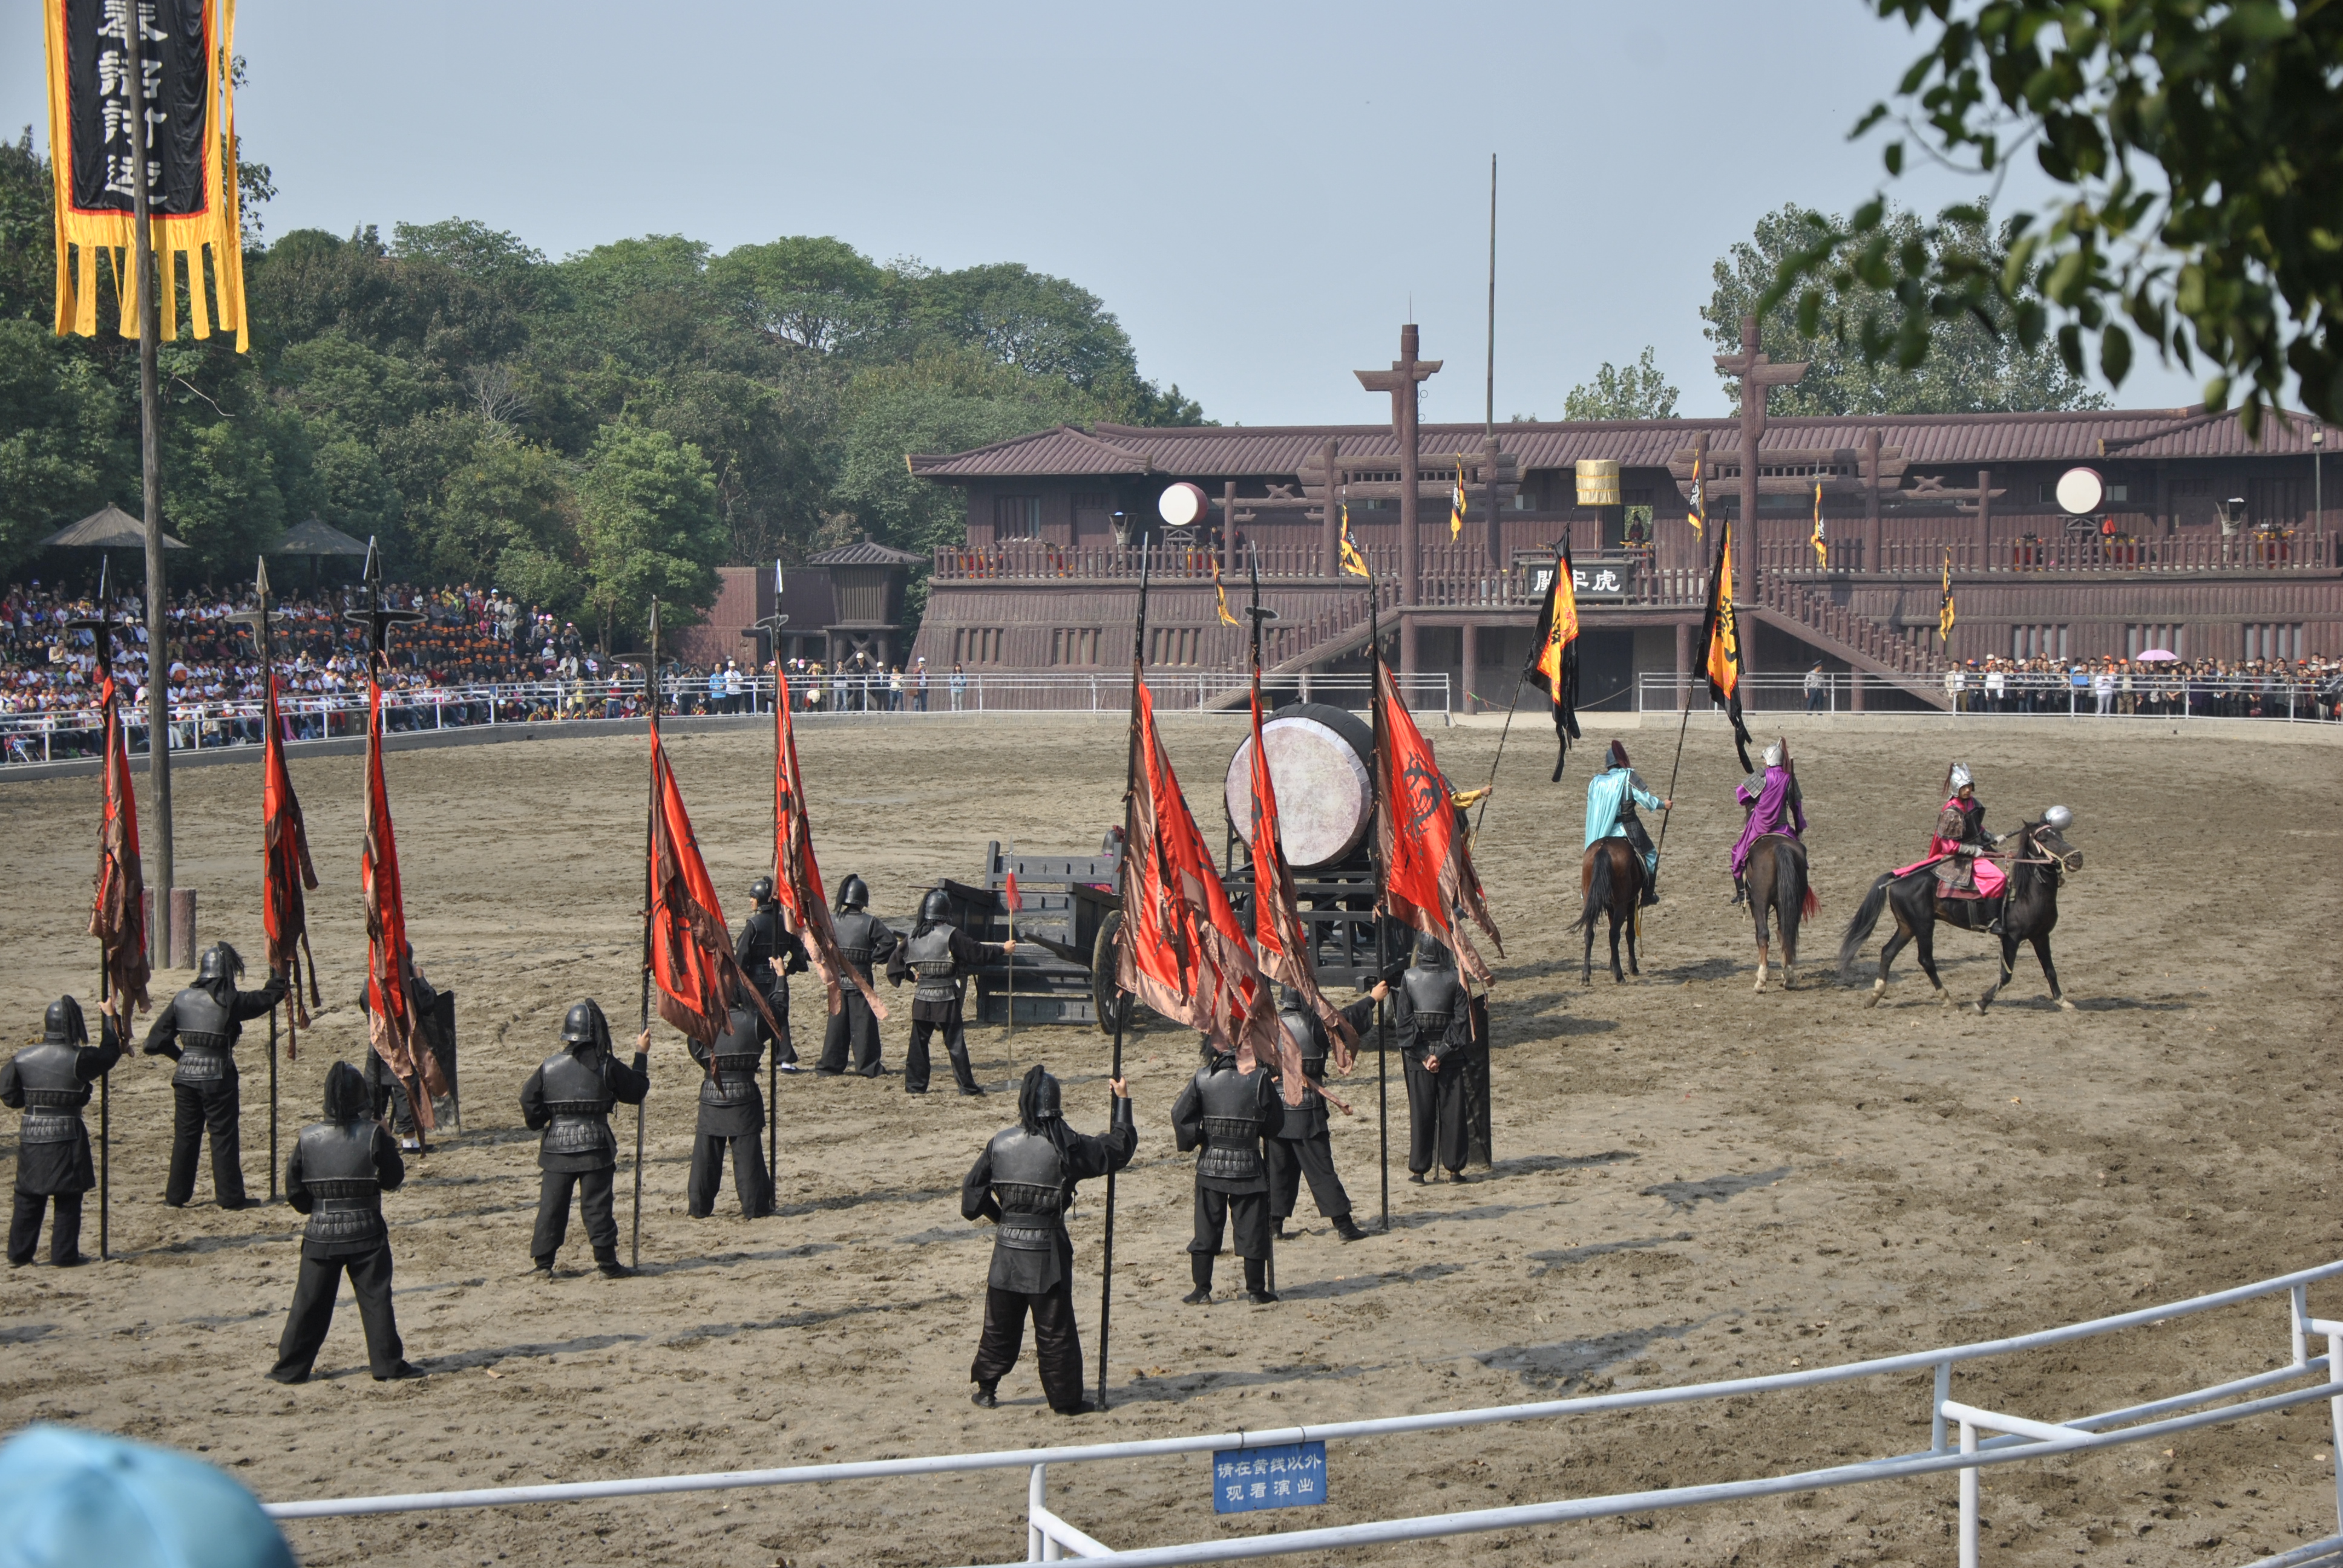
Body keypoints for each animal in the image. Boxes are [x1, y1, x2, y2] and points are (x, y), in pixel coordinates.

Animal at [1574, 839, 1649, 984]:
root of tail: (1604, 848)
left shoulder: (1610, 905)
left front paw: (1611, 964)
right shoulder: (1631, 901)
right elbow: (1630, 933)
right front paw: (1633, 967)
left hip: (1590, 901)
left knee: (1589, 934)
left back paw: (1586, 975)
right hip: (1621, 904)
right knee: (1614, 934)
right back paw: (1619, 976)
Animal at [1743, 829, 1809, 989]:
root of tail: (1780, 847)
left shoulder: (1755, 904)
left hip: (1760, 901)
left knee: (1763, 934)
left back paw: (1761, 982)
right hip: (1795, 901)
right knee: (1787, 932)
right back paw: (1790, 978)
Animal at [1827, 806, 2089, 1017]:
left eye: (2060, 834)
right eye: (2044, 837)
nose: (2076, 858)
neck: (2028, 894)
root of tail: (1900, 877)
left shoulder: (2041, 937)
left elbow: (2050, 971)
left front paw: (2063, 1002)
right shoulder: (2011, 938)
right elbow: (2006, 976)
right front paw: (1981, 1003)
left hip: (1907, 926)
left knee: (1888, 952)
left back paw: (1875, 996)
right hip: (1923, 925)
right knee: (1926, 960)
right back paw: (1948, 1000)